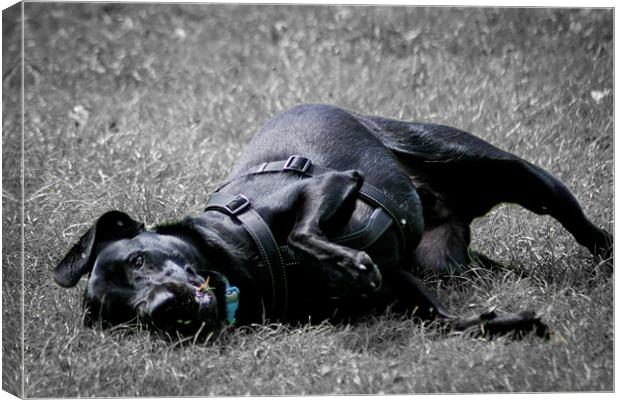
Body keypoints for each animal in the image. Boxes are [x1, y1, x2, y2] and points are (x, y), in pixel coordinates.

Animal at [57, 104, 612, 338]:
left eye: (138, 259)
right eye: (123, 317)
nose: (163, 308)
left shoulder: (329, 184)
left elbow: (305, 233)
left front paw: (350, 264)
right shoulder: (404, 283)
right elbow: (450, 322)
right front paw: (509, 323)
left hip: (515, 174)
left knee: (587, 227)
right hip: (444, 261)